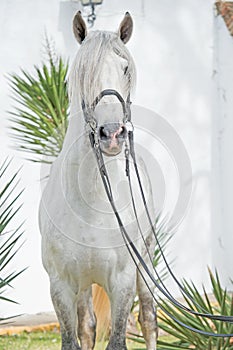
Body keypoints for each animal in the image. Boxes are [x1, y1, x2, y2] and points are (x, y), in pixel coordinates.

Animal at [39, 12, 157, 348]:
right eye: (82, 72)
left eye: (125, 68)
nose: (112, 134)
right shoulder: (61, 286)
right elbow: (75, 336)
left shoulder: (122, 283)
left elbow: (118, 338)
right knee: (88, 326)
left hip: (145, 262)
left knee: (148, 319)